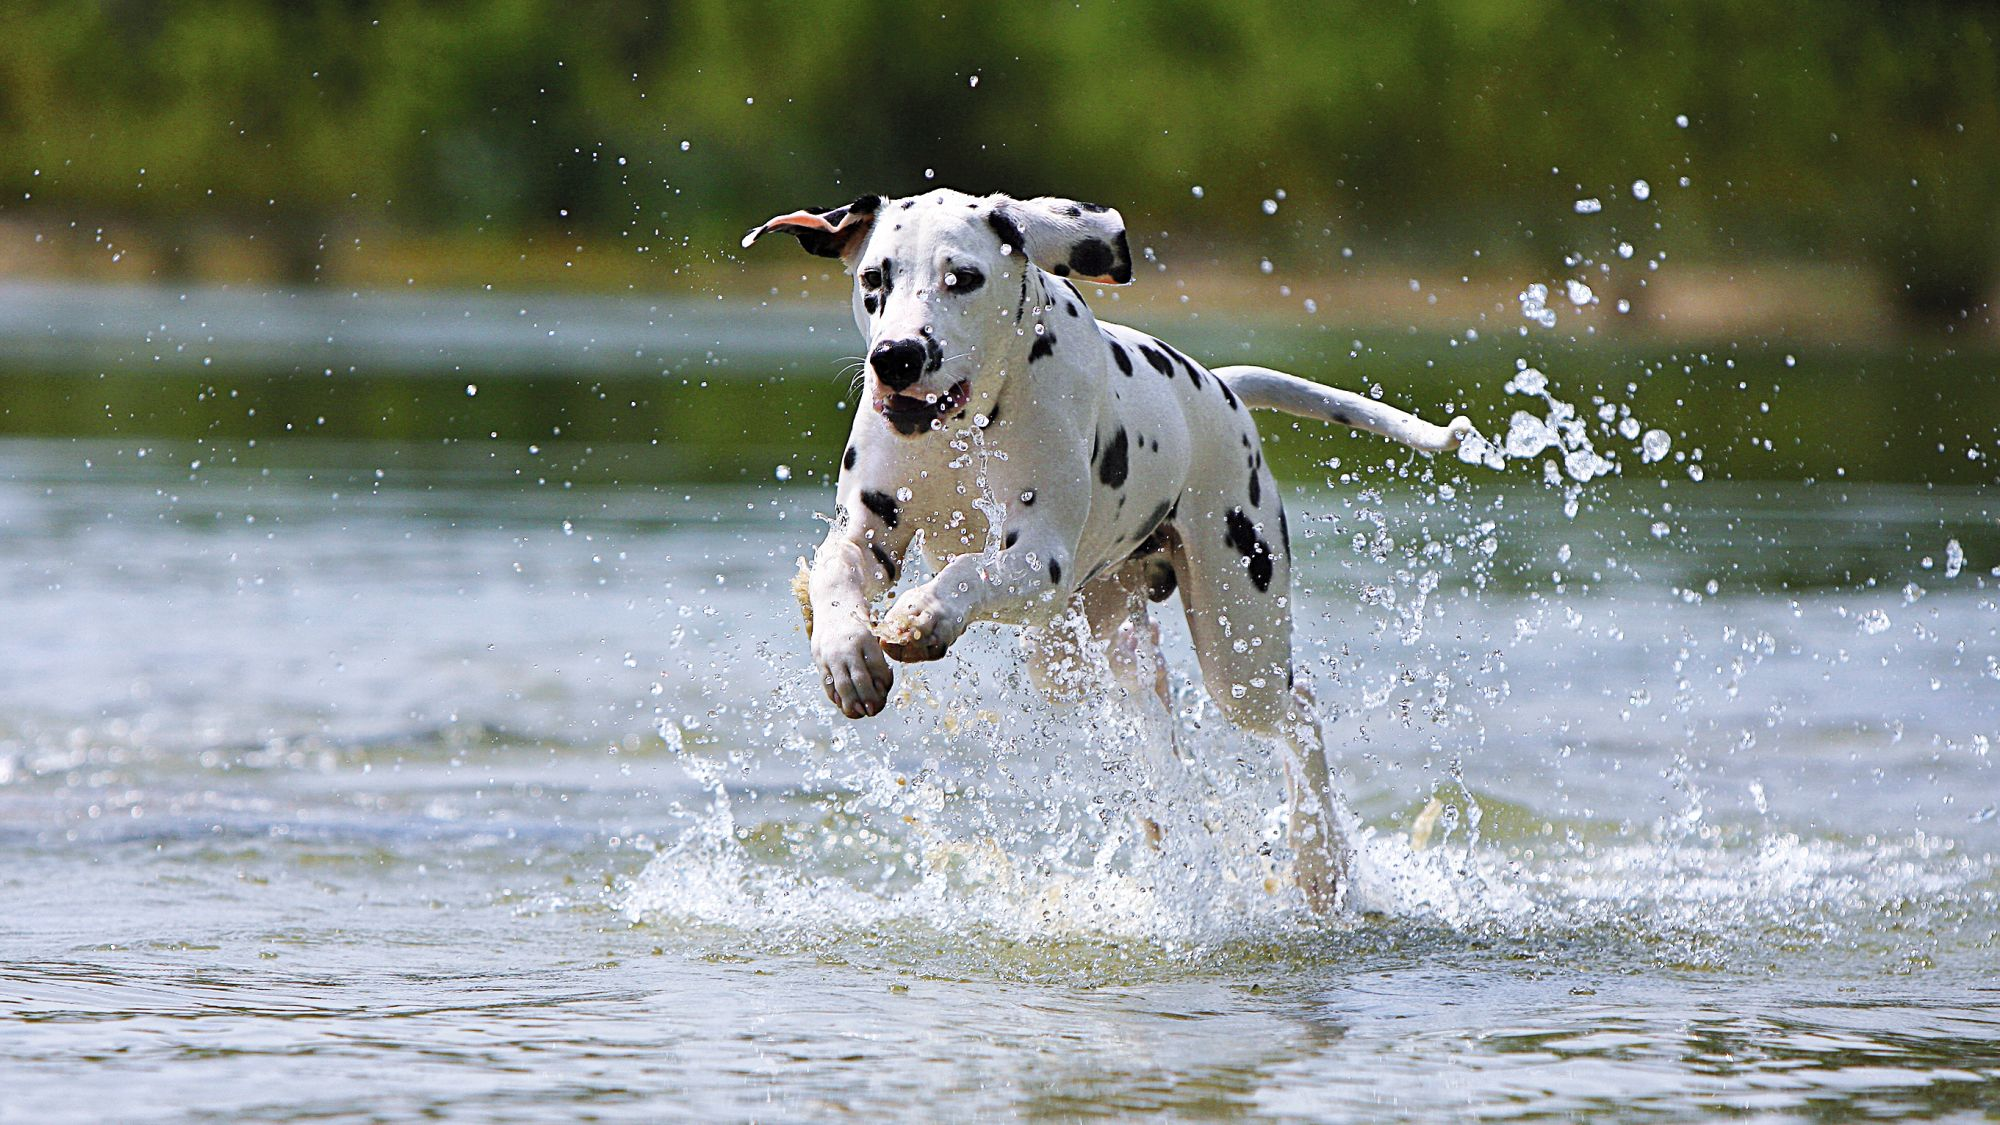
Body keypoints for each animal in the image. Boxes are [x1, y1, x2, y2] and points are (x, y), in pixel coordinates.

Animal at [744, 188, 1464, 904]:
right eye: (874, 279)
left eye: (963, 278)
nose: (897, 355)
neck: (964, 430)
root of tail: (1220, 387)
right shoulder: (867, 537)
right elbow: (836, 575)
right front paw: (846, 654)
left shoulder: (1040, 559)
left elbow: (970, 572)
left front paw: (926, 612)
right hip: (1098, 651)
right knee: (1160, 736)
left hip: (1239, 646)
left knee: (1299, 713)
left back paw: (1320, 860)